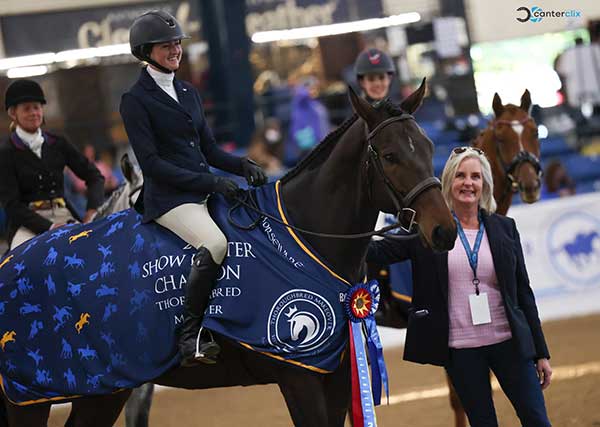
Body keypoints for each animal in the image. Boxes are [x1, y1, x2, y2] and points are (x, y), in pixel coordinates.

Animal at [2, 81, 458, 427]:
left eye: (427, 145)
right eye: (390, 155)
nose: (446, 230)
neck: (303, 242)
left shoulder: (334, 374)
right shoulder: (299, 378)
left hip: (103, 389)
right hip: (30, 396)